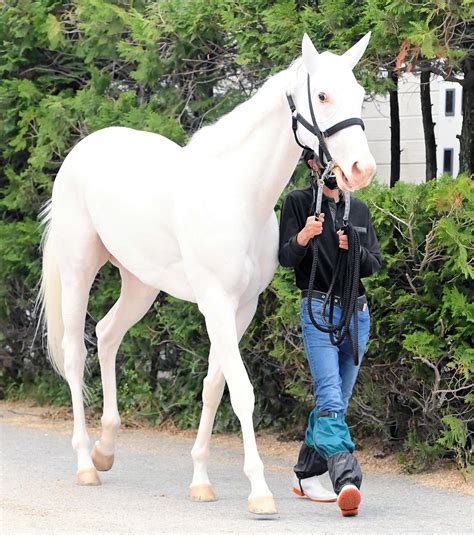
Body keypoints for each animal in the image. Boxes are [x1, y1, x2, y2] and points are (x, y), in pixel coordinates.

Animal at [38, 32, 374, 516]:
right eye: (324, 95)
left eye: (360, 94)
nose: (362, 170)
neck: (238, 194)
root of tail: (81, 151)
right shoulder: (215, 303)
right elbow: (242, 391)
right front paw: (259, 491)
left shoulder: (241, 309)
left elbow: (215, 385)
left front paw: (200, 481)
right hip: (79, 268)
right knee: (73, 353)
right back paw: (86, 463)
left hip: (140, 284)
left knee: (106, 334)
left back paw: (106, 449)